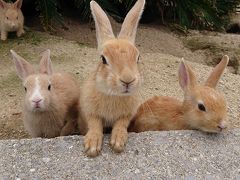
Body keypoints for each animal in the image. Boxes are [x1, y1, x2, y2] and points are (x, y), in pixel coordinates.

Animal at [79, 0, 145, 156]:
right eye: (103, 59)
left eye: (138, 57)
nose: (128, 80)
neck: (113, 95)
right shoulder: (89, 111)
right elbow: (94, 124)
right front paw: (92, 146)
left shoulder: (127, 115)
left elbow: (121, 124)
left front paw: (118, 142)